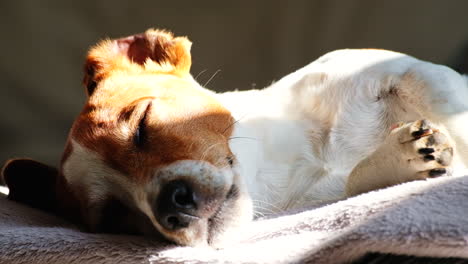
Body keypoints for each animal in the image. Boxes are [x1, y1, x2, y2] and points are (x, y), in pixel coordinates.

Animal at [2, 29, 468, 248]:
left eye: (142, 124)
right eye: (112, 216)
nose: (170, 206)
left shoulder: (408, 73)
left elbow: (450, 109)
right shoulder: (321, 195)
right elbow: (356, 179)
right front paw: (399, 159)